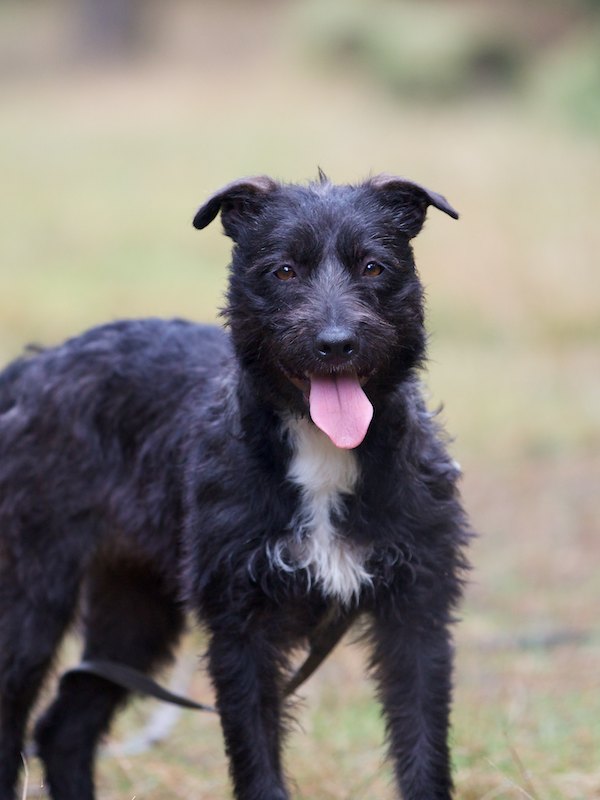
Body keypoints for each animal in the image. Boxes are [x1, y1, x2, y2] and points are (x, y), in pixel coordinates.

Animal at [0, 173, 470, 800]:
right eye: (283, 270)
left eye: (373, 266)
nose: (336, 343)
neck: (321, 449)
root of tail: (36, 366)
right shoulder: (241, 629)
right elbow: (256, 759)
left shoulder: (417, 614)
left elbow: (423, 750)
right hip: (32, 601)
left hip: (135, 609)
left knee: (65, 727)